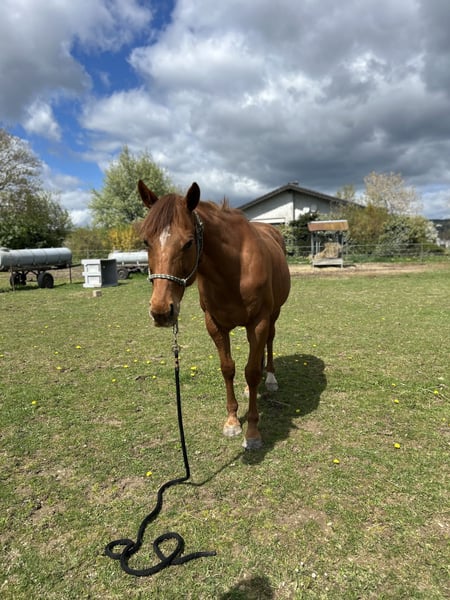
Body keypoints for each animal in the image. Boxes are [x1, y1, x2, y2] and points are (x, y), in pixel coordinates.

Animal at [138, 180, 291, 449]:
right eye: (146, 241)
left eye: (188, 243)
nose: (161, 311)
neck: (234, 269)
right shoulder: (215, 324)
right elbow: (228, 368)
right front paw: (232, 421)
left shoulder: (258, 322)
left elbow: (252, 372)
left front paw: (253, 432)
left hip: (273, 315)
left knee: (269, 342)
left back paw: (270, 378)